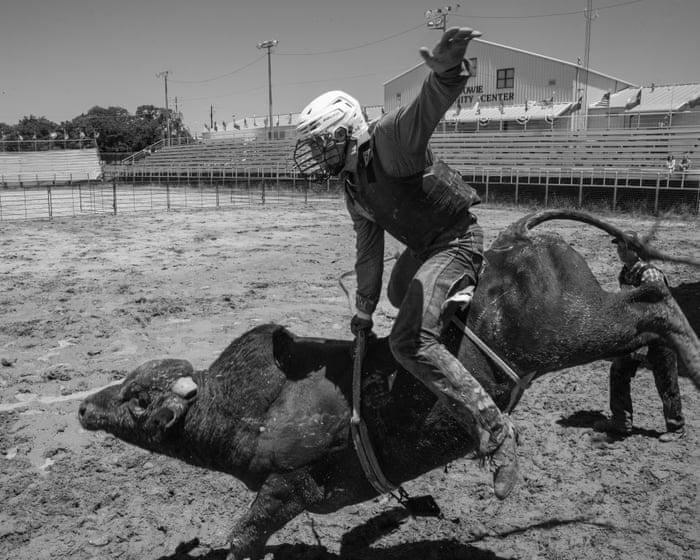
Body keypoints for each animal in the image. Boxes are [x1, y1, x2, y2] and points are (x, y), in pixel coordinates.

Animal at [79, 209, 700, 560]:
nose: (85, 407)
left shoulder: (285, 487)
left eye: (138, 400)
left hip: (570, 327)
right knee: (647, 306)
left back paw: (691, 355)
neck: (252, 408)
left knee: (649, 302)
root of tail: (516, 237)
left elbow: (244, 535)